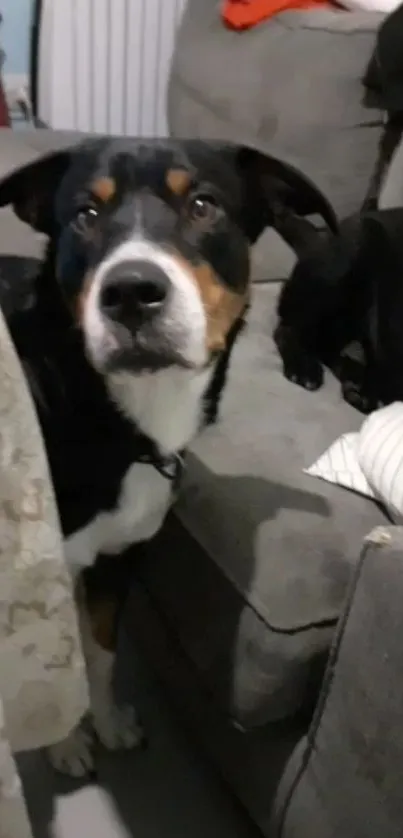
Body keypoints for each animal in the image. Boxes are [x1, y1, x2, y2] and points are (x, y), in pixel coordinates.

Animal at [0, 136, 338, 776]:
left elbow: (99, 650)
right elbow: (53, 662)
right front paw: (64, 742)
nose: (131, 292)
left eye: (203, 205)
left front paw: (107, 722)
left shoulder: (119, 555)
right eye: (85, 214)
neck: (118, 421)